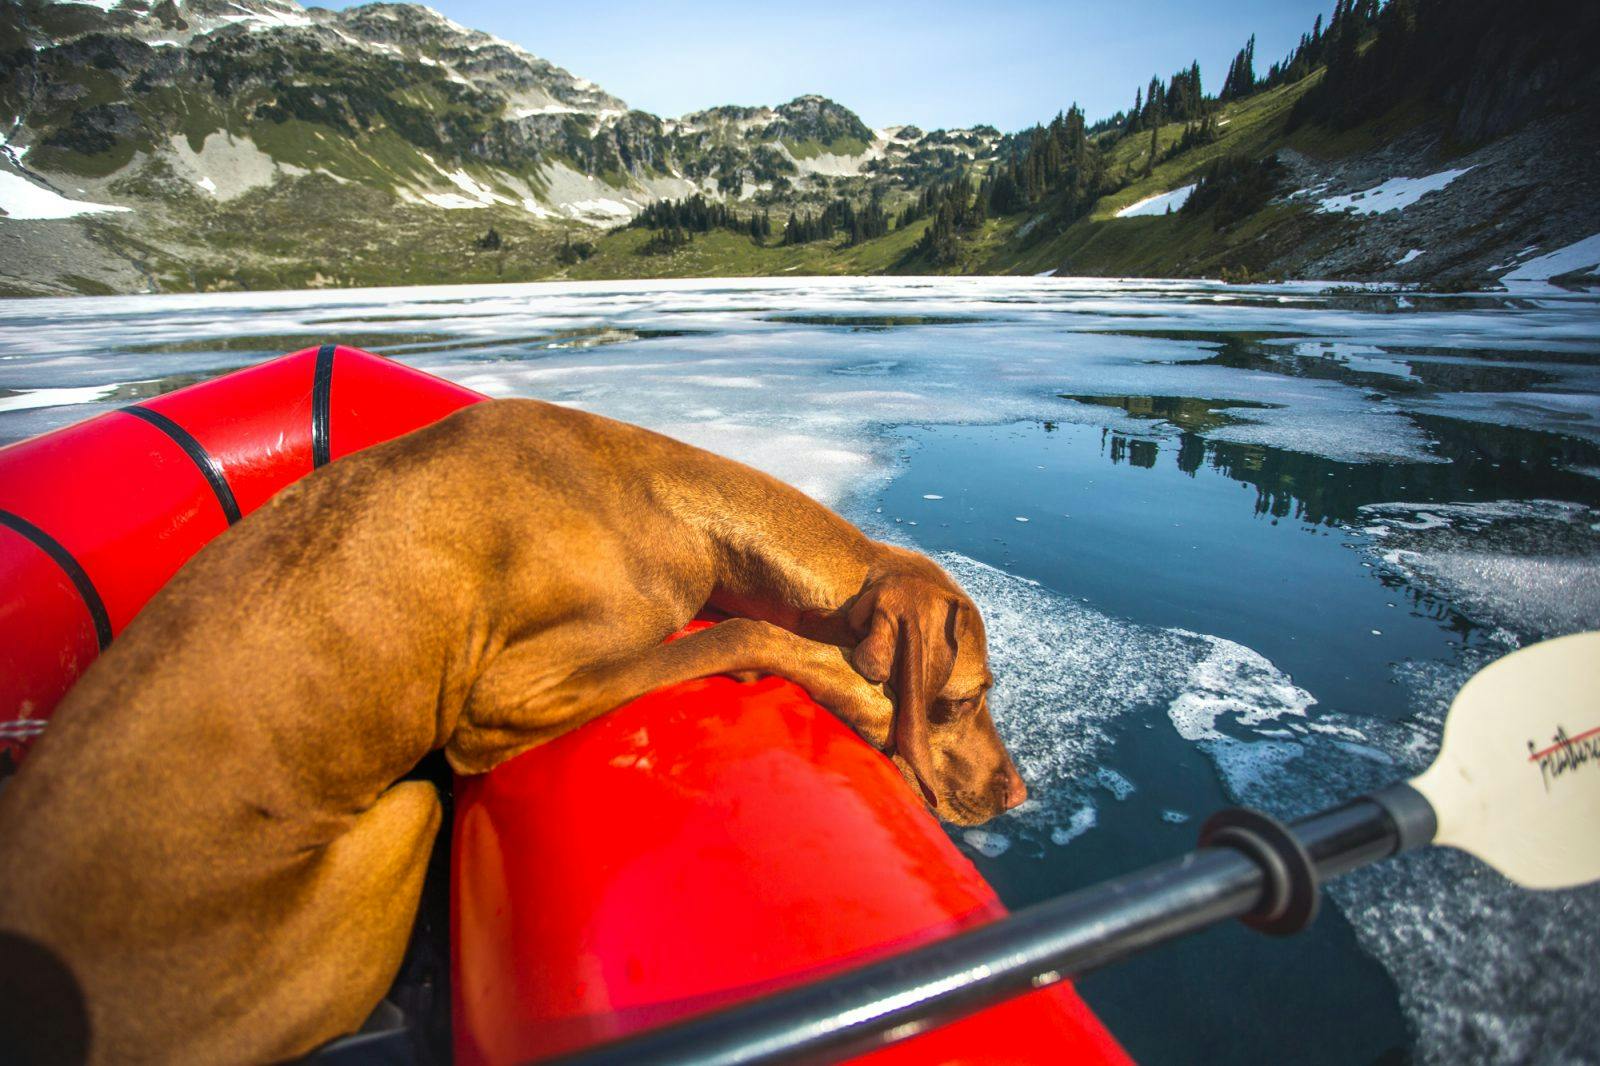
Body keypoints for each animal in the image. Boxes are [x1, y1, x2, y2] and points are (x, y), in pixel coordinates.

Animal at [0, 396, 1024, 1056]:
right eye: (965, 696)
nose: (1019, 789)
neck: (662, 492)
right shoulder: (506, 697)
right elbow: (746, 630)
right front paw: (867, 706)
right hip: (403, 813)